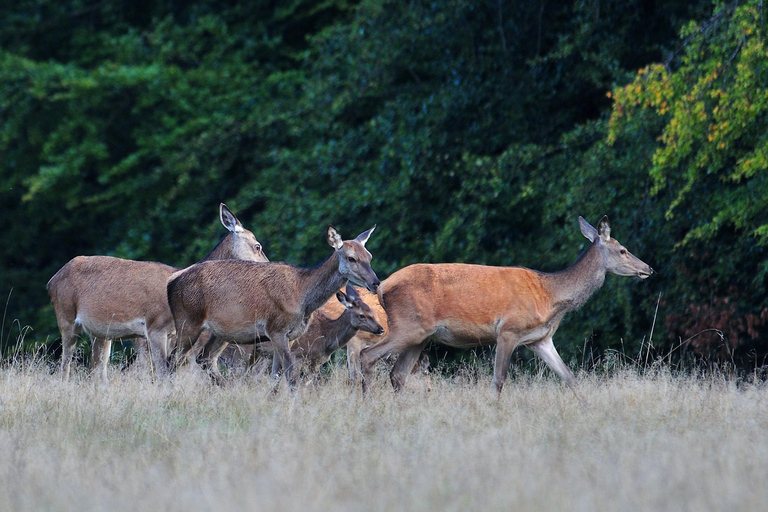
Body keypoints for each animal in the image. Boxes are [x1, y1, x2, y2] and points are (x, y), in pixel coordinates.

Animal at [47, 204, 269, 382]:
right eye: (257, 246)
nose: (268, 265)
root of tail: (51, 281)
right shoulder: (155, 326)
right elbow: (162, 373)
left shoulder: (171, 334)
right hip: (66, 317)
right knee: (66, 365)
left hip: (101, 332)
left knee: (97, 370)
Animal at [167, 225, 380, 389]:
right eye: (351, 258)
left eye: (369, 256)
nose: (375, 282)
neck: (303, 298)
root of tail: (171, 283)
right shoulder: (276, 329)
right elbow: (291, 376)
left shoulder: (290, 336)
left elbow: (276, 377)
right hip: (187, 322)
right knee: (172, 361)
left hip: (220, 332)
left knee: (204, 358)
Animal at [359, 216, 653, 401]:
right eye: (623, 250)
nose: (648, 268)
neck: (550, 296)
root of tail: (383, 287)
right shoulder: (508, 330)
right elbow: (499, 380)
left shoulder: (540, 339)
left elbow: (569, 377)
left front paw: (587, 409)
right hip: (408, 325)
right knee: (367, 355)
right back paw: (368, 403)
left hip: (421, 336)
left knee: (398, 374)